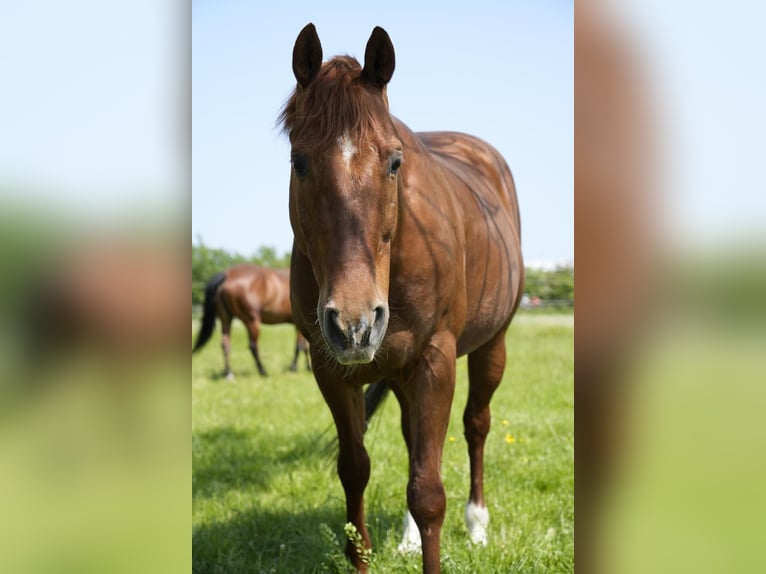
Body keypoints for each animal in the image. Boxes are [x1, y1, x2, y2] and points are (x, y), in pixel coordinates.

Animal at [279, 24, 524, 573]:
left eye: (393, 162)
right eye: (298, 161)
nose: (354, 323)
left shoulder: (436, 358)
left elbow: (428, 492)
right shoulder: (331, 368)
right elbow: (355, 470)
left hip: (490, 344)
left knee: (476, 426)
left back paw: (477, 525)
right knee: (415, 439)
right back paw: (411, 538)